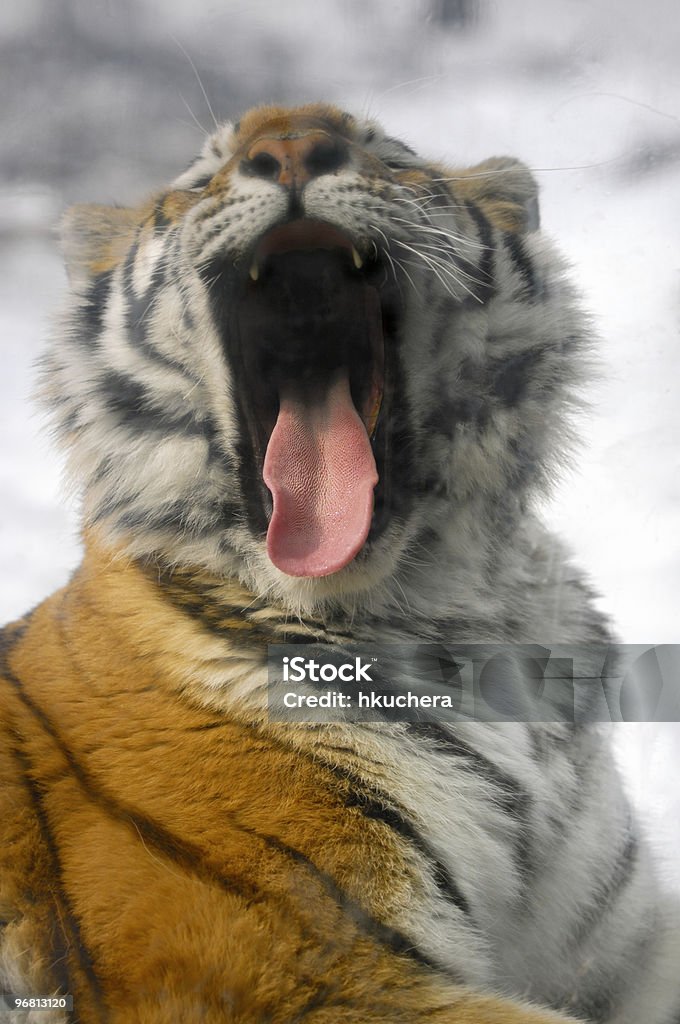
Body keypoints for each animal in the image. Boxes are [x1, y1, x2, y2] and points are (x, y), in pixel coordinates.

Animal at [0, 105, 675, 1024]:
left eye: (391, 154)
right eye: (200, 178)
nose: (289, 146)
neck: (464, 612)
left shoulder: (618, 949)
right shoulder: (290, 966)